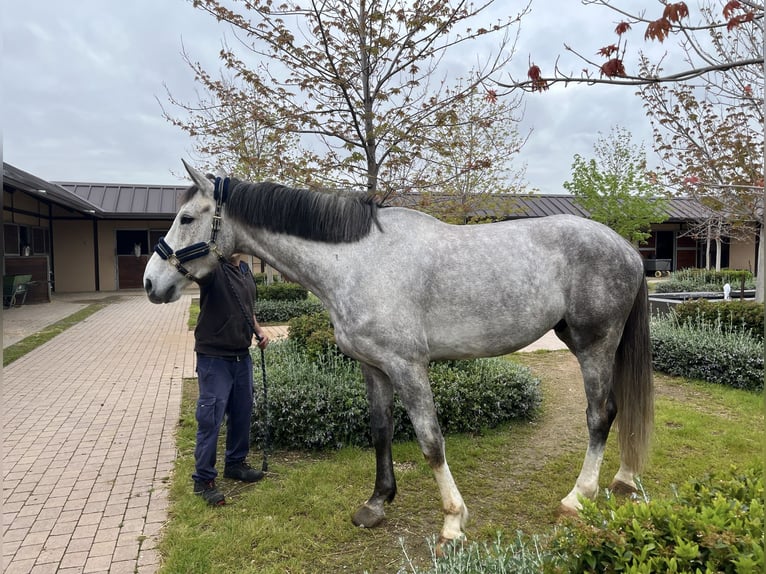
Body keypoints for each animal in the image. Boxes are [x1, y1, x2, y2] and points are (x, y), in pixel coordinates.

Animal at [143, 160, 653, 550]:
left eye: (186, 217)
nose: (151, 283)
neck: (357, 261)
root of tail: (626, 248)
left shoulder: (408, 367)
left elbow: (430, 441)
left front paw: (452, 521)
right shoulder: (375, 367)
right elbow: (381, 431)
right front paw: (376, 504)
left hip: (594, 345)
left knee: (600, 414)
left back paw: (577, 498)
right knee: (621, 410)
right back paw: (624, 481)